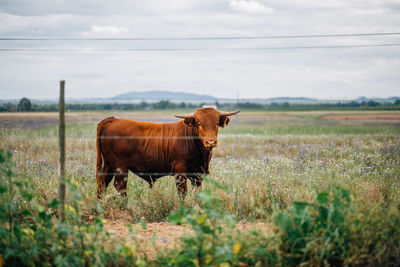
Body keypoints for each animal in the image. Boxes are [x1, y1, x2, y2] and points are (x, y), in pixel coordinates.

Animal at [95, 108, 239, 200]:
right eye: (199, 123)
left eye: (216, 123)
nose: (211, 142)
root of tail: (112, 119)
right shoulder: (180, 172)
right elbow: (182, 193)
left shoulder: (198, 175)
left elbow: (198, 194)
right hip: (120, 167)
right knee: (120, 187)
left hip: (108, 165)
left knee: (102, 184)